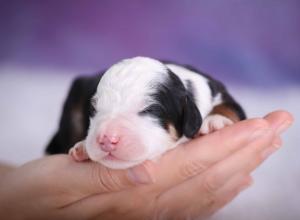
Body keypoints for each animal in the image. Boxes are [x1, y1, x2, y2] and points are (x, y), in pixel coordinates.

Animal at [45, 56, 245, 168]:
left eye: (150, 110)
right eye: (94, 109)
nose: (107, 139)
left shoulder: (217, 89)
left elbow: (229, 107)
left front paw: (214, 120)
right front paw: (82, 148)